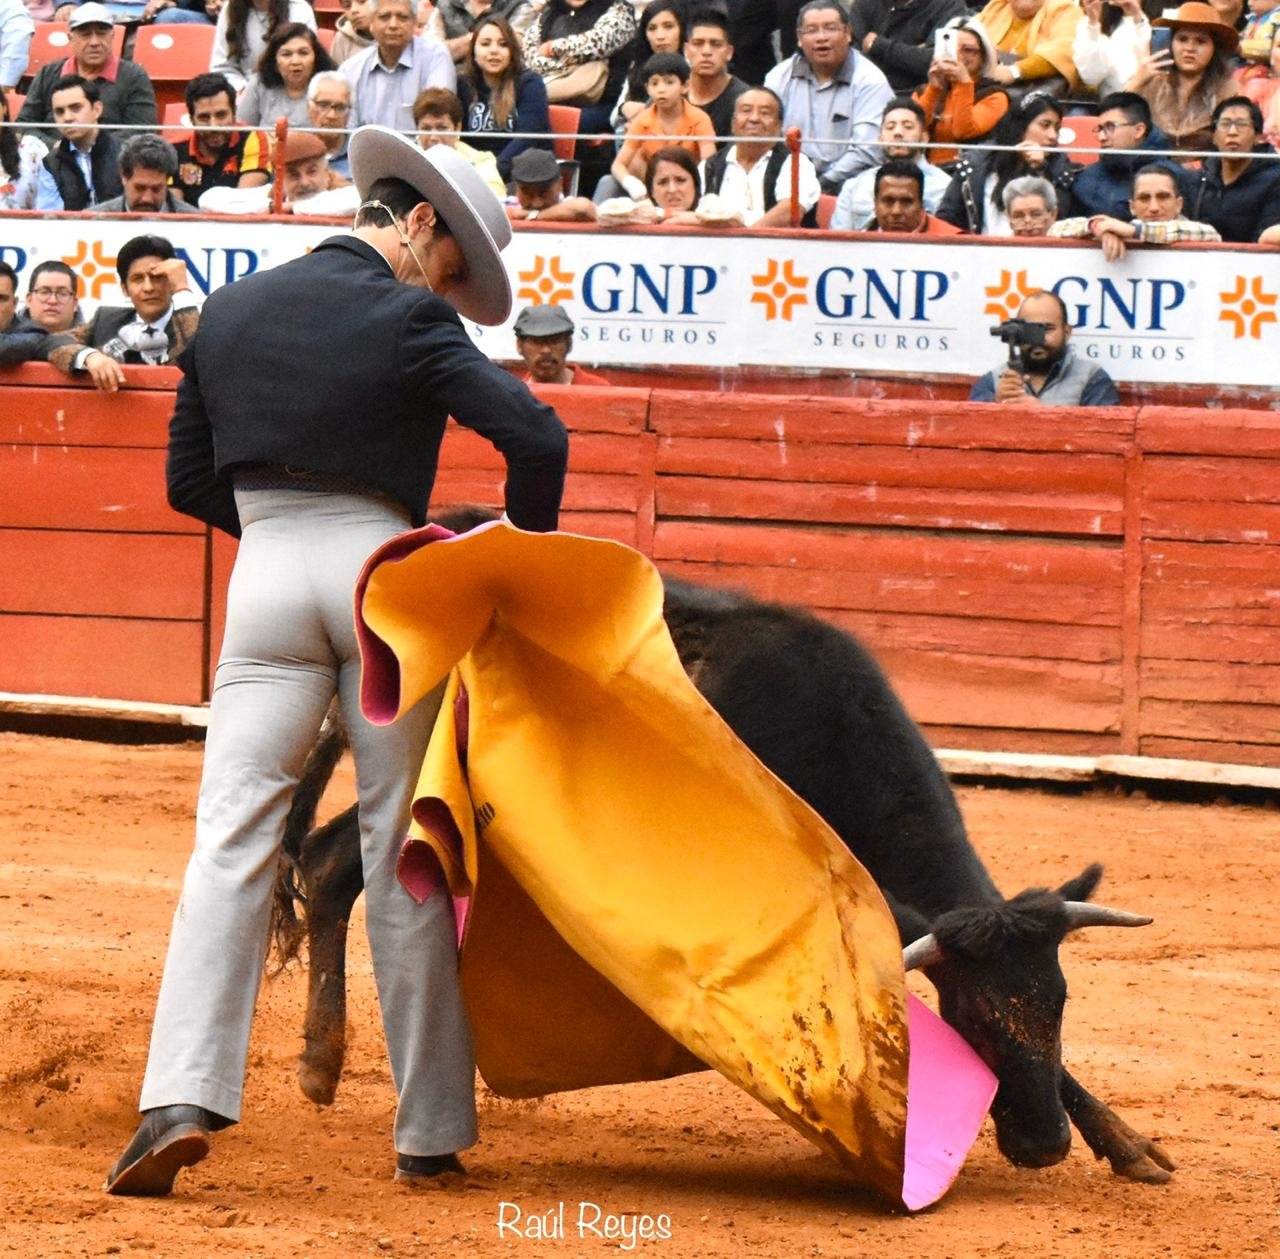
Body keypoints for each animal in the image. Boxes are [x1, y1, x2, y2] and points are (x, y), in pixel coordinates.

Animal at [269, 513, 1174, 1186]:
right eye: (974, 1016)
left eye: (1060, 1003)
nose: (1045, 1144)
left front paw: (1129, 1145)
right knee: (332, 860)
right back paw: (326, 1064)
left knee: (329, 861)